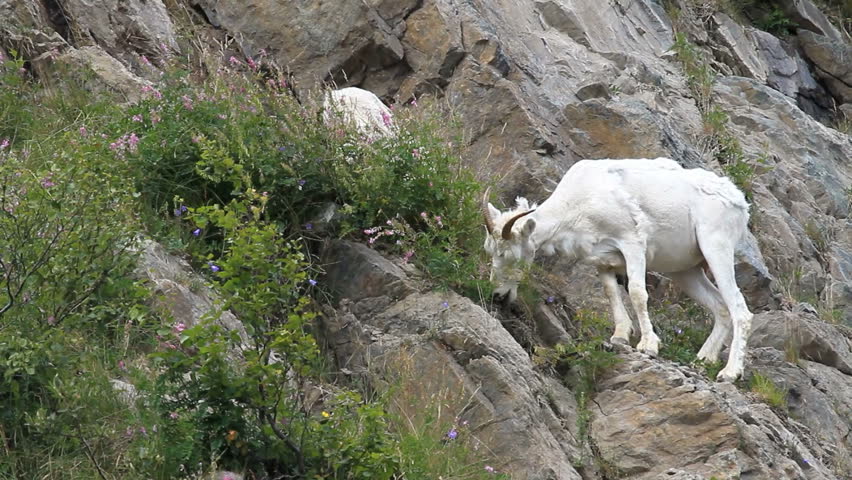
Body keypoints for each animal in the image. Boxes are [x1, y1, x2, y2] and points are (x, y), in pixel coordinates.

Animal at [483, 158, 757, 382]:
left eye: (509, 255)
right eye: (489, 251)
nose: (498, 295)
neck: (579, 202)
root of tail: (738, 201)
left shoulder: (632, 244)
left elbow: (636, 293)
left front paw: (648, 346)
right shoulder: (604, 260)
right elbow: (611, 293)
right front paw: (621, 337)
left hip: (716, 249)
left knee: (740, 309)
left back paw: (729, 373)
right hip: (685, 272)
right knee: (720, 307)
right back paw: (703, 360)